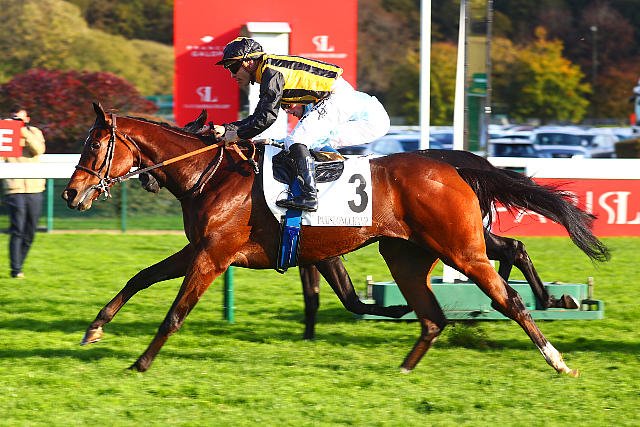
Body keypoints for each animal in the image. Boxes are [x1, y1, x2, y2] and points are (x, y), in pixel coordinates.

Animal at [62, 103, 609, 375]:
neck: (211, 175)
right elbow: (140, 277)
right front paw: (95, 329)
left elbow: (175, 312)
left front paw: (140, 362)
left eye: (93, 145)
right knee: (442, 308)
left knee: (505, 297)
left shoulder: (214, 256)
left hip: (459, 248)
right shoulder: (200, 250)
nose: (71, 193)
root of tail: (450, 165)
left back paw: (557, 358)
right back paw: (407, 367)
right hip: (412, 252)